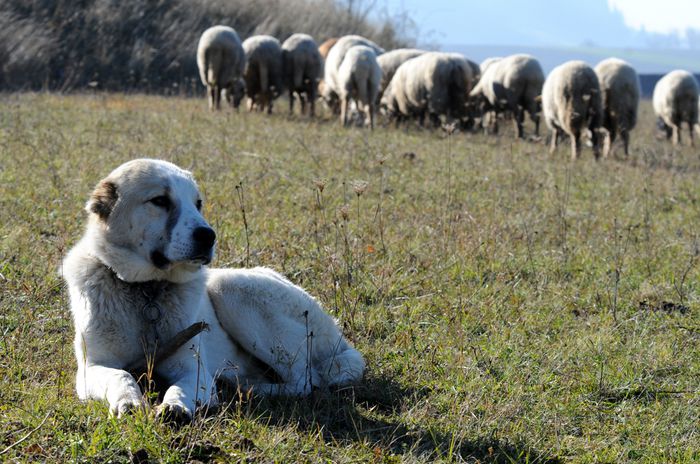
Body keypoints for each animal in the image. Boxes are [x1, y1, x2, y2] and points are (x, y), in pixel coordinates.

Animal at [62, 160, 364, 420]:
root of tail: (338, 337)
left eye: (198, 204)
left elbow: (181, 387)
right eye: (160, 200)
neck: (146, 291)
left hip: (228, 286)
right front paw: (129, 400)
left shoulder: (193, 368)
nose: (208, 236)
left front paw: (175, 406)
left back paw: (247, 387)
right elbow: (121, 375)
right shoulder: (90, 369)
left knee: (305, 381)